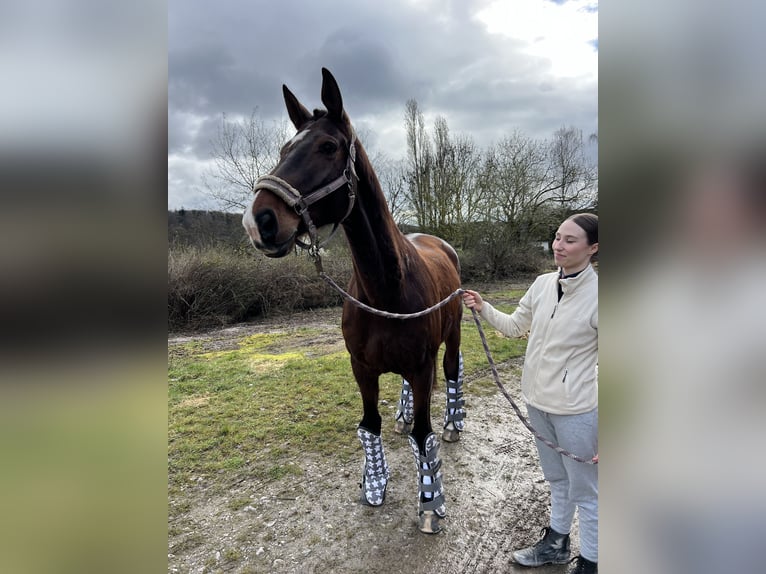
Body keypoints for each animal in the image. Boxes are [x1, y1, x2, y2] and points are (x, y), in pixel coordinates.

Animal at [243, 68, 464, 536]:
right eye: (284, 149)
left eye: (327, 146)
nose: (259, 221)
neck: (386, 288)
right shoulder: (361, 367)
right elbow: (370, 424)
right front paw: (374, 484)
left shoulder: (422, 366)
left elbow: (424, 433)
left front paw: (430, 504)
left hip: (452, 337)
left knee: (452, 372)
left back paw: (454, 425)